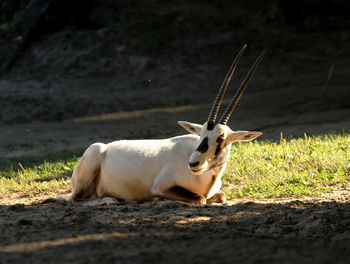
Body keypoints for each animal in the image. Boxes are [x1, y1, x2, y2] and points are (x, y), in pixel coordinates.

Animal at [68, 45, 266, 205]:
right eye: (201, 135)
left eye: (220, 138)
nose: (193, 163)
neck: (205, 179)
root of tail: (103, 147)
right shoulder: (160, 186)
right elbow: (200, 199)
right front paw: (158, 199)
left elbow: (221, 196)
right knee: (74, 200)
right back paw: (111, 200)